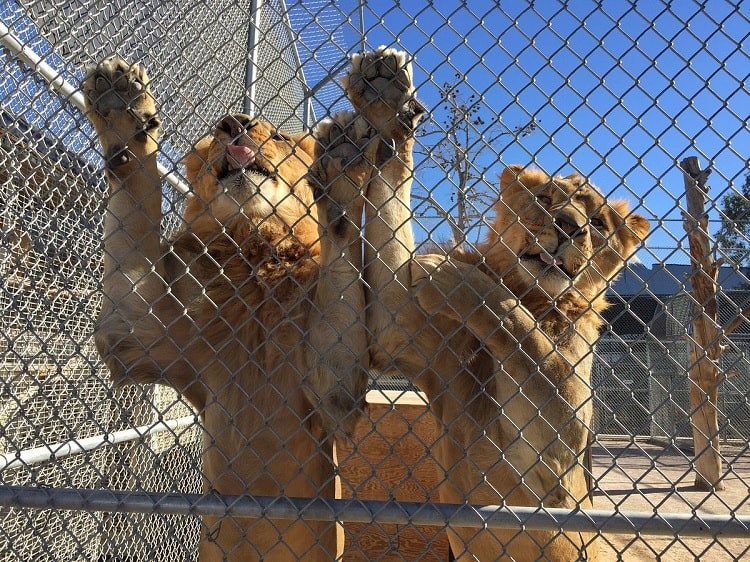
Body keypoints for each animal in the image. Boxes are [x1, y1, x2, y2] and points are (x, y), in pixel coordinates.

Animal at [83, 50, 424, 556]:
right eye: (217, 135)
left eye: (279, 136)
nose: (234, 123)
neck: (255, 246)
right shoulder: (132, 332)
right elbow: (134, 191)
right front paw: (122, 109)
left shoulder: (334, 386)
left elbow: (352, 223)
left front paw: (352, 154)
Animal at [352, 51, 652, 556]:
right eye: (546, 198)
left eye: (597, 223)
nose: (569, 226)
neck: (535, 293)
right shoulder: (401, 330)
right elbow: (390, 184)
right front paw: (386, 100)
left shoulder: (564, 433)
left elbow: (520, 327)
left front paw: (441, 268)